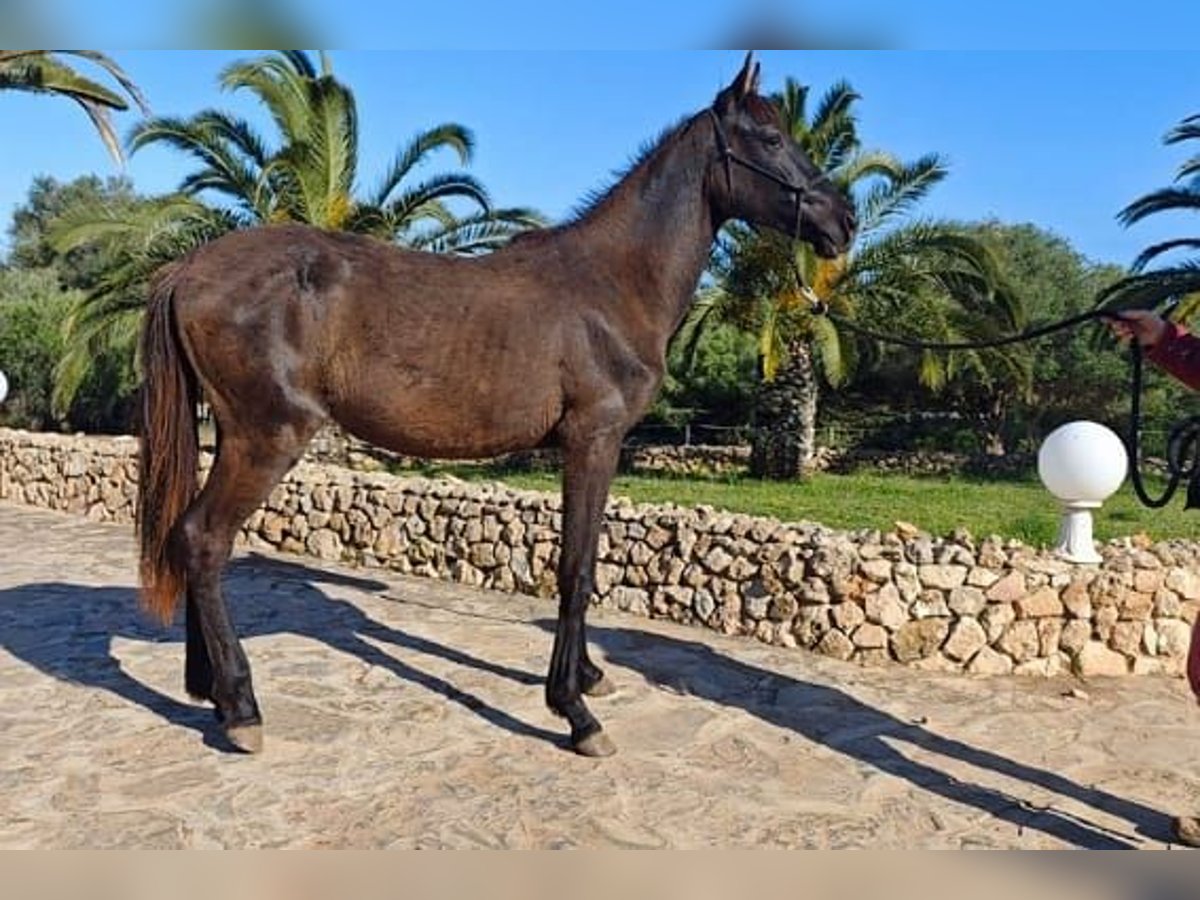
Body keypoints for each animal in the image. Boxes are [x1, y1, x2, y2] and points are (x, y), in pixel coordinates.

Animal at [137, 53, 856, 757]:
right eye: (770, 139)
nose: (842, 221)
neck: (611, 284)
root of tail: (188, 270)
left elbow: (583, 562)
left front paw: (586, 675)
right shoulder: (593, 440)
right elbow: (576, 567)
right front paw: (574, 711)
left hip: (233, 435)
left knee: (190, 536)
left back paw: (208, 689)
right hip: (269, 436)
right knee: (204, 539)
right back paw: (240, 707)